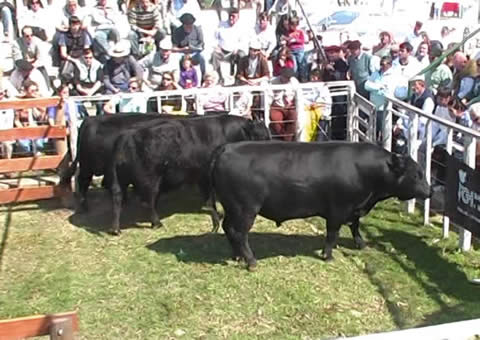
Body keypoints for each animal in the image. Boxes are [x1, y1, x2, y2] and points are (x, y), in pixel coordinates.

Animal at [110, 114, 272, 234]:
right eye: (261, 136)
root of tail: (127, 135)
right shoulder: (205, 177)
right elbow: (210, 200)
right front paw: (216, 221)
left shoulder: (201, 178)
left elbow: (209, 201)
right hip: (149, 180)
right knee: (147, 201)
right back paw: (156, 223)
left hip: (120, 180)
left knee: (118, 199)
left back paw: (116, 229)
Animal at [210, 141, 432, 270]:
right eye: (416, 175)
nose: (429, 192)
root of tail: (226, 148)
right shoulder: (338, 209)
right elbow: (332, 233)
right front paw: (328, 255)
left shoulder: (354, 208)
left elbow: (355, 226)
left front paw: (361, 244)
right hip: (245, 209)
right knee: (239, 233)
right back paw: (251, 261)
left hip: (232, 207)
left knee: (228, 228)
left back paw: (237, 256)